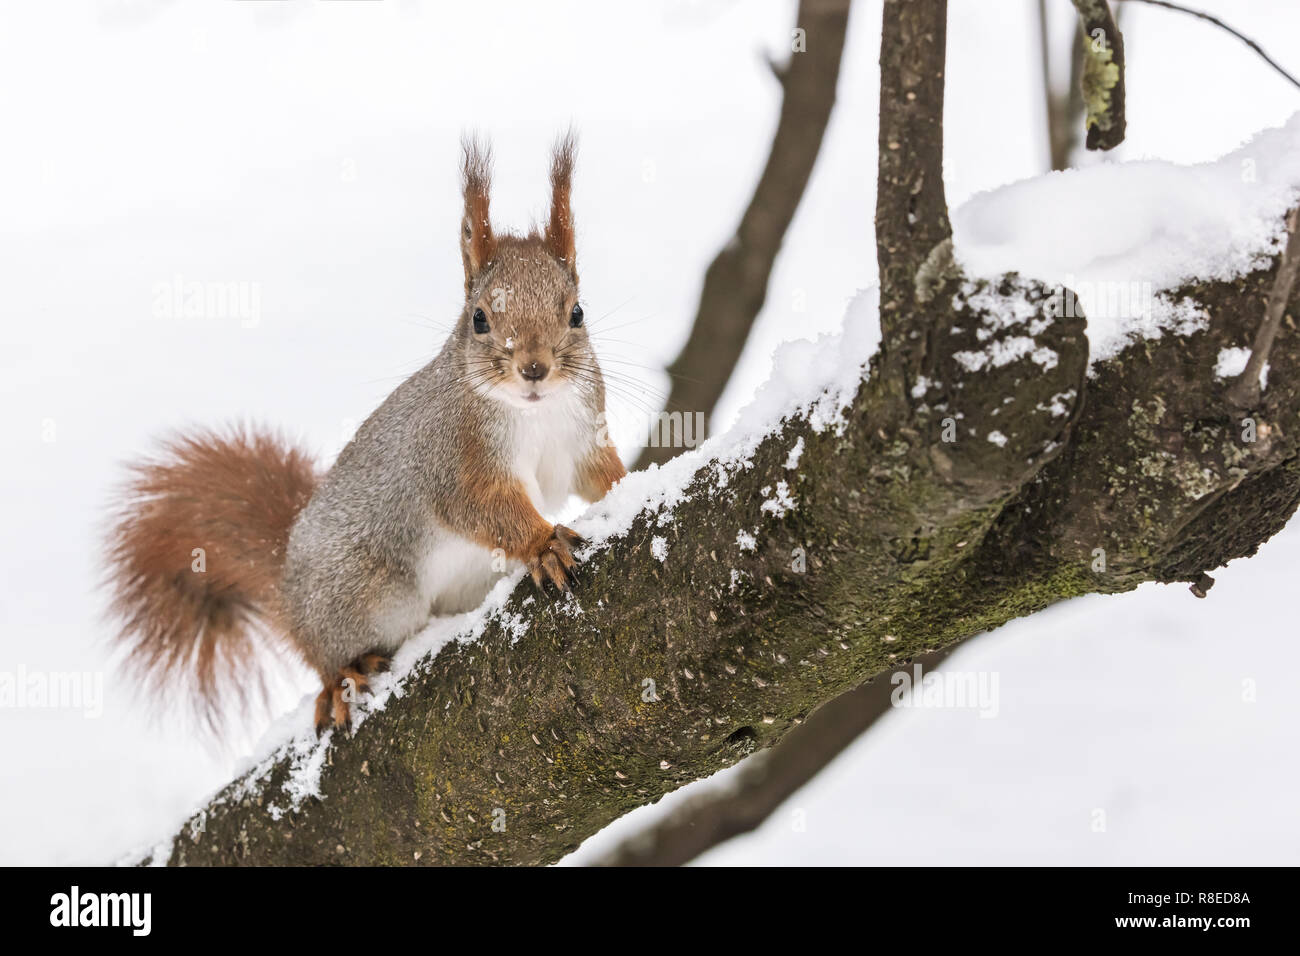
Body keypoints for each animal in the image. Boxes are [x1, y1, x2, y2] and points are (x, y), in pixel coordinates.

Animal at [104, 134, 627, 736]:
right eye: (479, 318)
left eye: (577, 312)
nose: (535, 369)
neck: (532, 414)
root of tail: (287, 585)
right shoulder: (452, 458)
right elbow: (484, 508)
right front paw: (543, 544)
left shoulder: (581, 435)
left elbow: (601, 475)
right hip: (361, 600)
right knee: (324, 655)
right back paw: (339, 681)